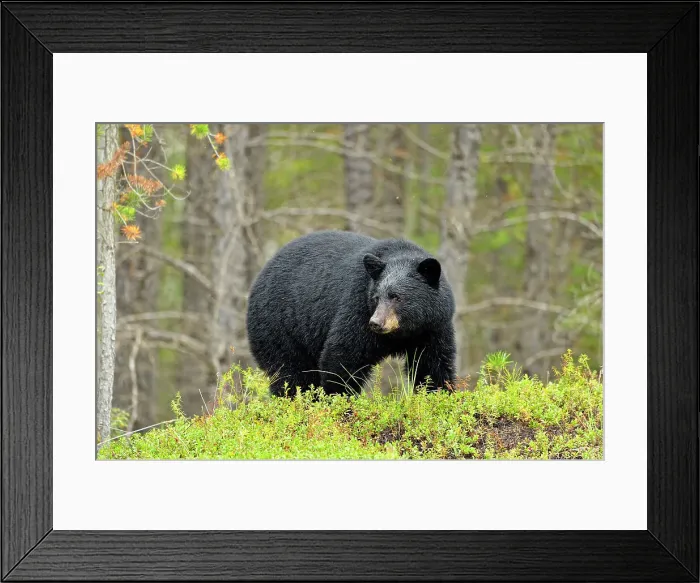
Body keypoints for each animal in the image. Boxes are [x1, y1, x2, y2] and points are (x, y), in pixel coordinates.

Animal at [245, 230, 457, 397]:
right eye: (376, 297)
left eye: (396, 296)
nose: (376, 323)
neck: (403, 333)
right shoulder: (357, 308)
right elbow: (343, 356)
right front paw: (340, 402)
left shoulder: (433, 328)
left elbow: (432, 366)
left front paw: (439, 395)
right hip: (279, 326)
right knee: (290, 372)